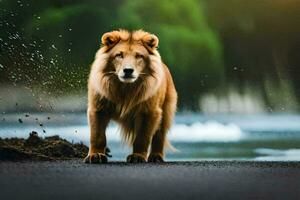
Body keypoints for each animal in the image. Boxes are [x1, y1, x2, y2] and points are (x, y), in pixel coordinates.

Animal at [84, 29, 177, 163]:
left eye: (139, 56)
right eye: (119, 55)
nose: (128, 70)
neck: (126, 89)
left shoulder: (149, 111)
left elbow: (142, 137)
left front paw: (137, 156)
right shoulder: (98, 107)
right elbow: (97, 135)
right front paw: (96, 155)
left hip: (166, 110)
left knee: (160, 135)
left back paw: (156, 157)